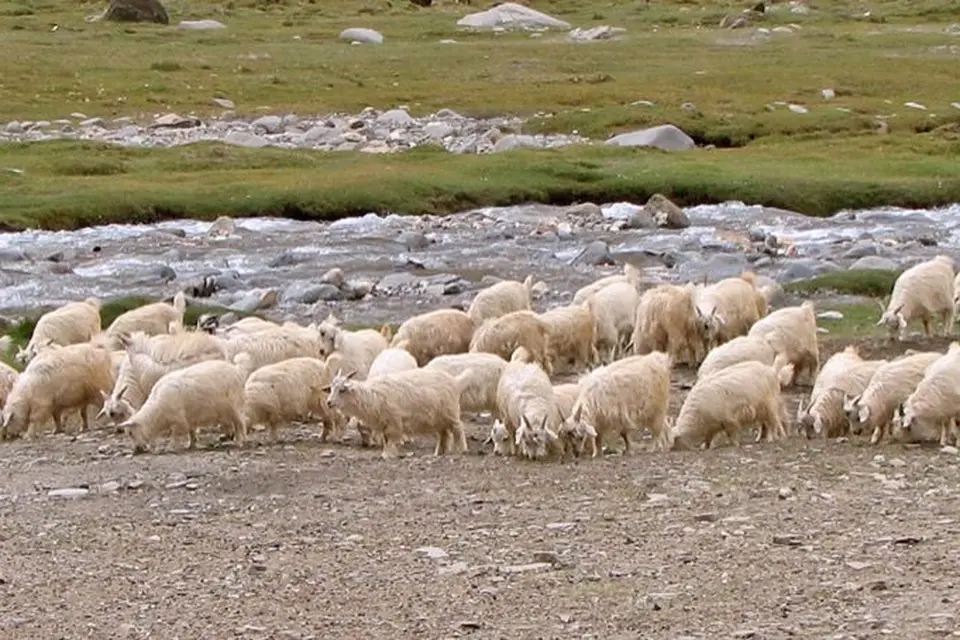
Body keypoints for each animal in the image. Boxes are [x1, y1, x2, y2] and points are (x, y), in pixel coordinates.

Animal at [323, 367, 470, 459]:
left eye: (342, 390)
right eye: (331, 388)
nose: (329, 402)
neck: (371, 396)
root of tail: (455, 381)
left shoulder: (393, 420)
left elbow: (390, 438)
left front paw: (388, 454)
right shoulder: (384, 423)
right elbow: (385, 438)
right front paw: (386, 453)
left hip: (451, 412)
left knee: (458, 428)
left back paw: (462, 450)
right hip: (439, 418)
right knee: (443, 433)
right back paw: (439, 452)